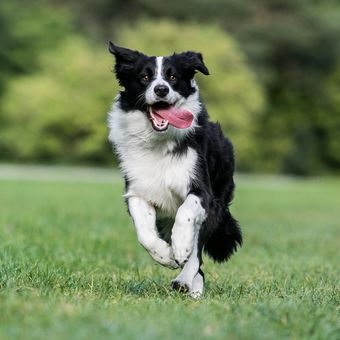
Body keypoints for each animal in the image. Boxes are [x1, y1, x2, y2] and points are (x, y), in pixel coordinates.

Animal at [106, 42, 242, 298]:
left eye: (173, 77)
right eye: (145, 77)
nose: (160, 90)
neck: (159, 142)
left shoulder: (202, 191)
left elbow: (186, 213)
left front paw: (179, 248)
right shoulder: (137, 191)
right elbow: (144, 233)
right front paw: (165, 255)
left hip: (216, 205)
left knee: (197, 253)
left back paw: (186, 281)